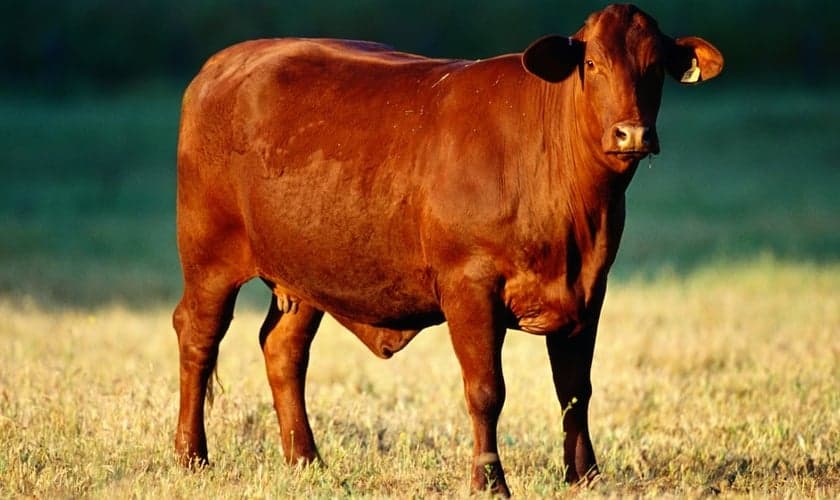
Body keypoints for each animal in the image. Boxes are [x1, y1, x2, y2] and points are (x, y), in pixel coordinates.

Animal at [173, 4, 723, 496]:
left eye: (656, 67)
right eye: (591, 64)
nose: (632, 133)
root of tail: (223, 62)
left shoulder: (589, 290)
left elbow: (575, 390)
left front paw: (585, 477)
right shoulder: (469, 287)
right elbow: (486, 391)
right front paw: (489, 482)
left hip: (305, 273)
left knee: (283, 349)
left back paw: (306, 461)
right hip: (208, 256)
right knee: (198, 338)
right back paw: (191, 457)